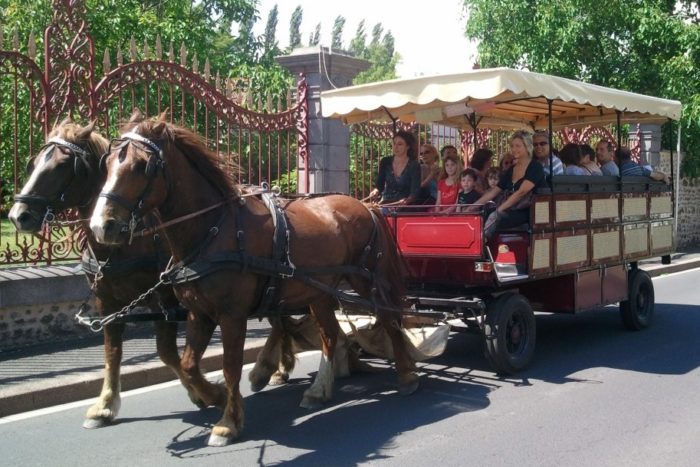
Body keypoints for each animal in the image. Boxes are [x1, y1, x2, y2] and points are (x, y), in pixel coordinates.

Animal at [87, 116, 416, 446]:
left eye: (143, 166)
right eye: (107, 164)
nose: (102, 226)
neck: (214, 228)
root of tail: (366, 206)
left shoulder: (232, 315)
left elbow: (230, 366)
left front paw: (227, 422)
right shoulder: (199, 312)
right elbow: (189, 364)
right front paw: (215, 395)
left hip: (368, 281)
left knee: (389, 320)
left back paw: (406, 376)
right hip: (318, 291)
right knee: (330, 334)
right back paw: (318, 389)